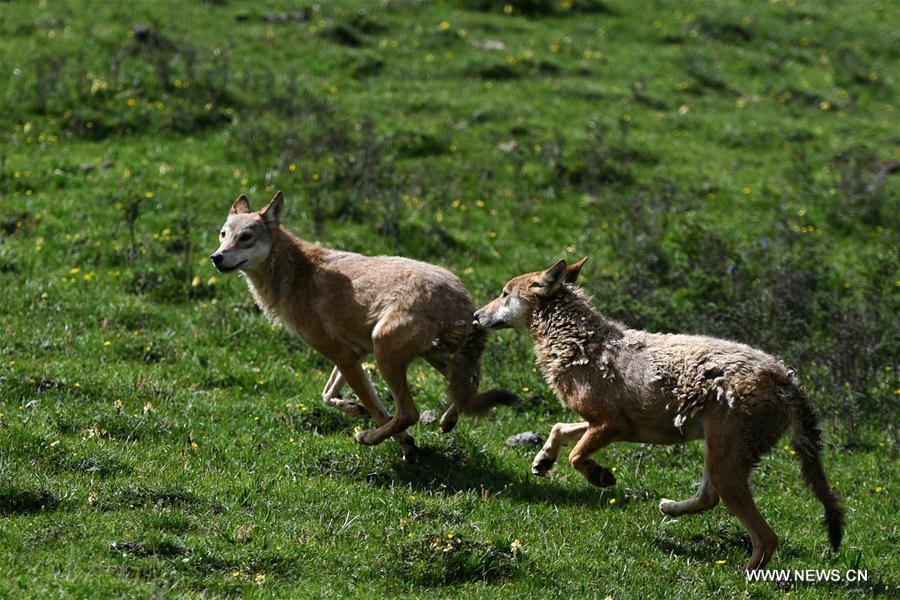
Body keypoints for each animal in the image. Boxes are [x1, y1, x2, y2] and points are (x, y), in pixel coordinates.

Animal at [210, 191, 515, 461]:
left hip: (386, 354)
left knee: (411, 412)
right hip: (432, 358)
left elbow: (379, 410)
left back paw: (368, 437)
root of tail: (463, 302)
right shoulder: (353, 355)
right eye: (223, 235)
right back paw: (447, 421)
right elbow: (328, 395)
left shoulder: (344, 355)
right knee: (470, 388)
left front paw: (405, 445)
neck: (295, 272)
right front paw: (355, 409)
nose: (216, 257)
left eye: (246, 237)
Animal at [474, 257, 843, 570]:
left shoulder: (610, 425)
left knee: (766, 538)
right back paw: (670, 508)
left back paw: (744, 577)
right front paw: (543, 461)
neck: (579, 343)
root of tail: (786, 378)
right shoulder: (601, 424)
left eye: (504, 293)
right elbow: (559, 428)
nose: (476, 315)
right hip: (718, 457)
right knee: (709, 499)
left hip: (726, 465)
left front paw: (600, 476)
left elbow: (576, 455)